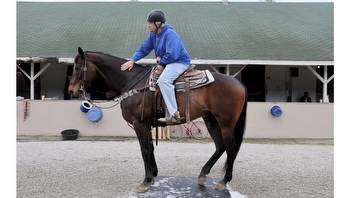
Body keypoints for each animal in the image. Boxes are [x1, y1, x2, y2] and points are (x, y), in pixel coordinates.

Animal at [68, 47, 247, 193]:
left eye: (78, 67)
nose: (71, 91)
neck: (132, 82)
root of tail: (238, 83)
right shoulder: (146, 125)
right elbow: (150, 148)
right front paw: (153, 174)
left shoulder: (140, 124)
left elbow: (145, 150)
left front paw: (146, 181)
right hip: (211, 120)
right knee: (220, 146)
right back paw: (202, 175)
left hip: (226, 123)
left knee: (231, 148)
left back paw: (223, 181)